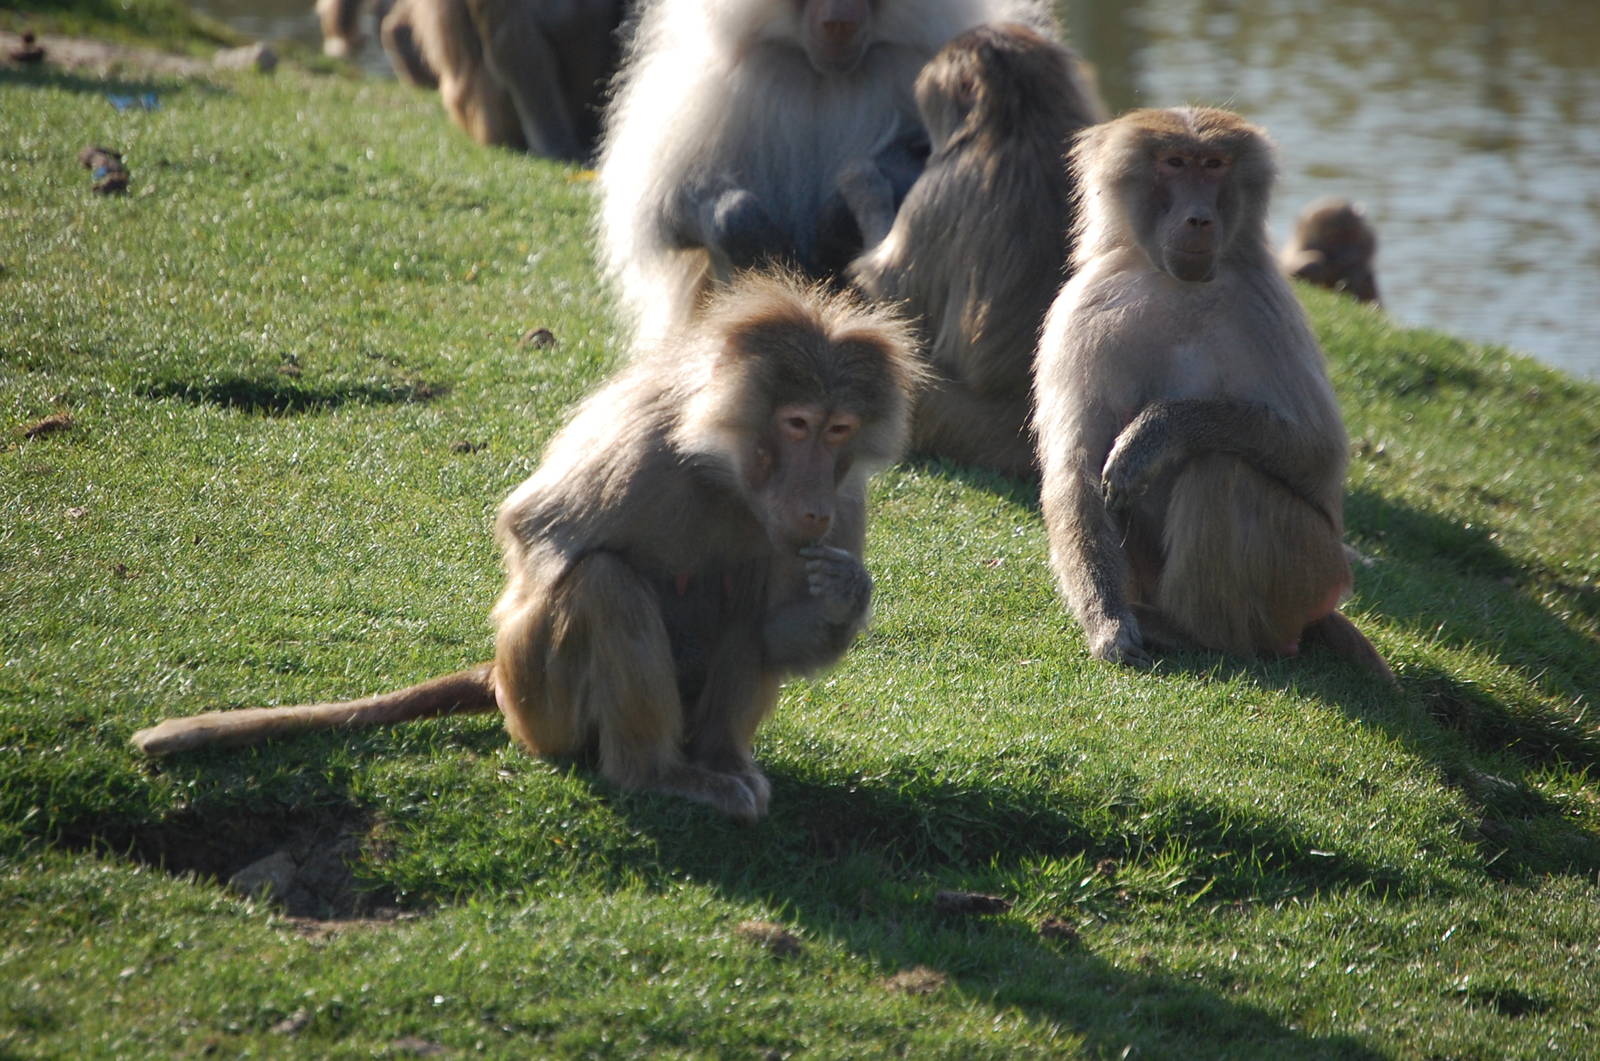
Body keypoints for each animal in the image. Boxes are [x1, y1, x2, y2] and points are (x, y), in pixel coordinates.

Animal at [130, 273, 924, 822]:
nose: (811, 505)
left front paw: (844, 594)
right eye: (797, 422)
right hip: (538, 711)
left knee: (738, 613)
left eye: (840, 430)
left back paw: (718, 758)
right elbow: (538, 537)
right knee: (603, 586)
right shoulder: (643, 452)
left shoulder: (846, 502)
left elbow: (774, 628)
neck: (725, 475)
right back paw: (656, 772)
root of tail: (500, 685)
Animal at [596, 0, 1056, 345]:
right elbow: (673, 216)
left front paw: (836, 219)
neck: (824, 75)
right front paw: (745, 228)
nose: (840, 22)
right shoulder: (714, 87)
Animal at [1032, 107, 1393, 681]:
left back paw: (1199, 634)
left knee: (1219, 473)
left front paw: (1156, 435)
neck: (1179, 285)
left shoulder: (1265, 304)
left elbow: (1319, 454)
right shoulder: (1082, 308)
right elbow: (1079, 466)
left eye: (1215, 165)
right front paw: (1108, 624)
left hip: (1313, 574)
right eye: (1176, 163)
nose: (1199, 219)